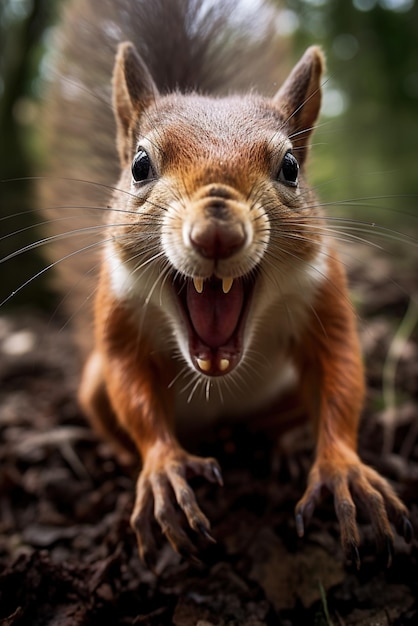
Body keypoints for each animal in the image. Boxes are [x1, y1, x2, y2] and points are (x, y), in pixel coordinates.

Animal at [40, 0, 414, 564]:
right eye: (139, 165)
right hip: (92, 389)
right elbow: (132, 383)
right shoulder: (117, 311)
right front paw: (163, 467)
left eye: (290, 167)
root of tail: (221, 423)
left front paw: (342, 468)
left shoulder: (325, 294)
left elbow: (340, 371)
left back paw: (282, 448)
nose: (217, 230)